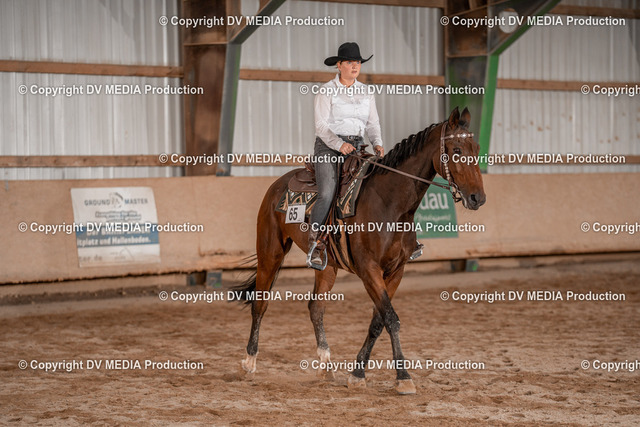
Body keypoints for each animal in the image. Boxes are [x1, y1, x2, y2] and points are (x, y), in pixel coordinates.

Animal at [235, 107, 486, 394]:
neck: (390, 204)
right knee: (260, 303)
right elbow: (391, 319)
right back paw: (249, 362)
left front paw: (357, 373)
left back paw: (325, 366)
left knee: (316, 307)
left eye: (477, 148)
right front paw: (403, 377)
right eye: (456, 149)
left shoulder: (395, 271)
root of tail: (277, 184)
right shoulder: (369, 270)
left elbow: (378, 321)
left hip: (327, 267)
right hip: (271, 252)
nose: (478, 198)